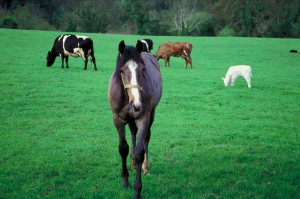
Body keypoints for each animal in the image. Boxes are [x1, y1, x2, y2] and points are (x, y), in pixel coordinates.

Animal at [108, 40, 163, 197]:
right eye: (121, 70)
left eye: (143, 69)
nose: (137, 104)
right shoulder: (118, 119)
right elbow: (123, 148)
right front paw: (125, 181)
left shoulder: (143, 118)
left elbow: (139, 152)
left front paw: (137, 190)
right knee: (133, 133)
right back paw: (132, 164)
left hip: (151, 114)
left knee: (146, 139)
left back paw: (145, 167)